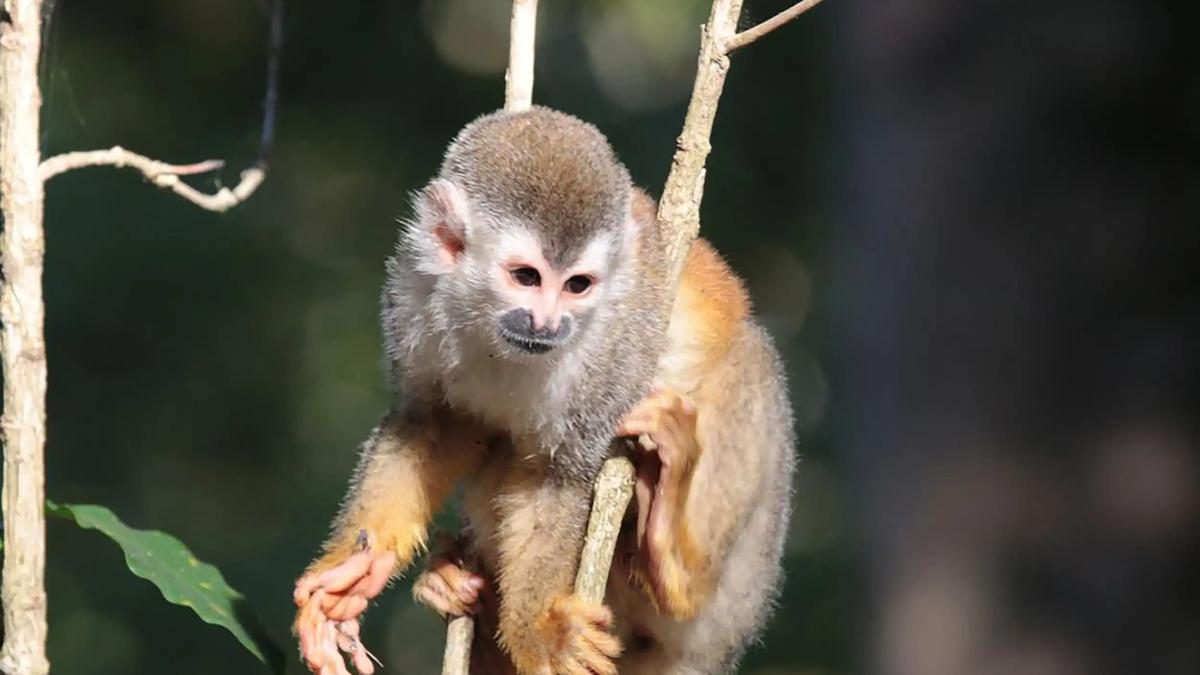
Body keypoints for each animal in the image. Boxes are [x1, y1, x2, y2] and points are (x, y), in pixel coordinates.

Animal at [293, 106, 676, 675]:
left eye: (578, 285)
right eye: (526, 277)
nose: (546, 323)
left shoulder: (613, 347)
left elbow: (556, 476)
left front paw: (538, 632)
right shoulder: (412, 285)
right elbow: (430, 422)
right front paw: (359, 567)